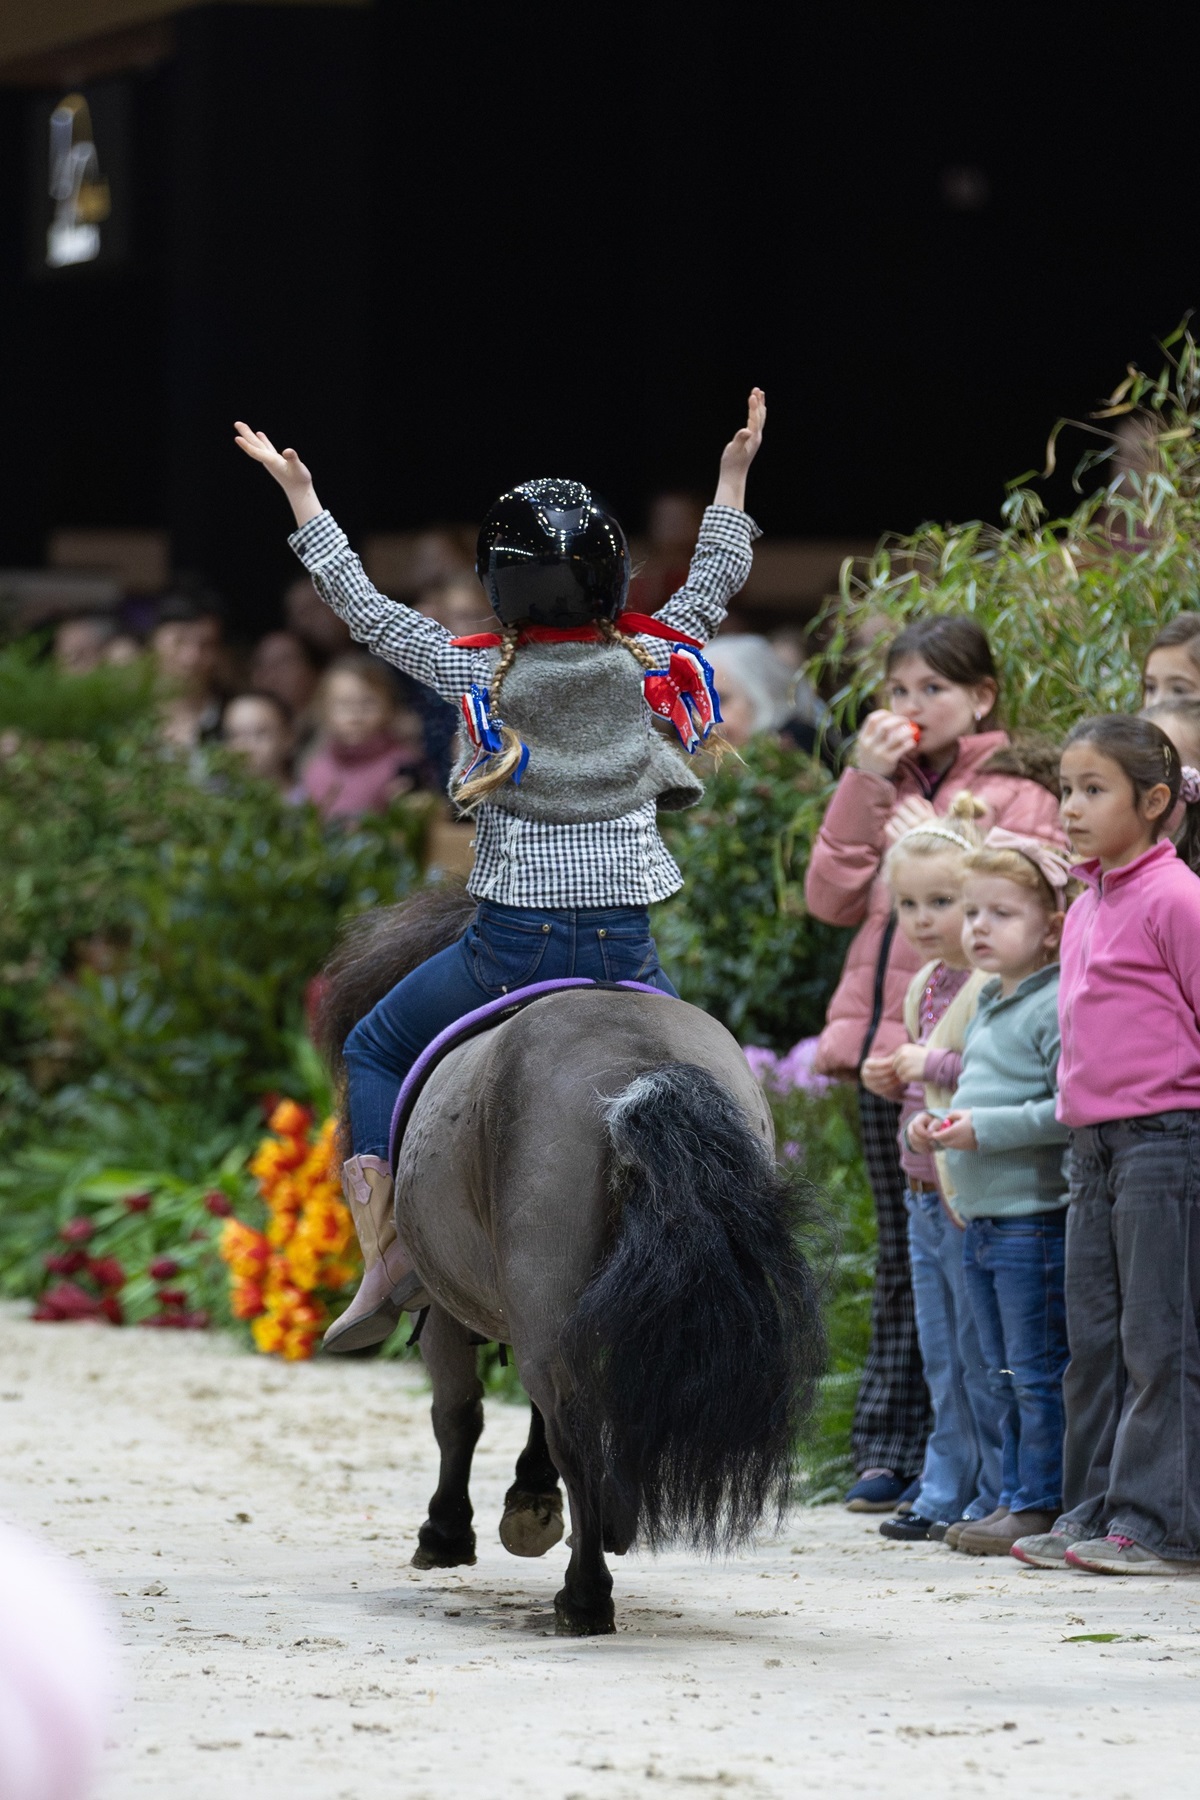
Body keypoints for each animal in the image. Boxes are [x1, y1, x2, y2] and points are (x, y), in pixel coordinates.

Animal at [318, 885, 827, 1634]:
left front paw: (449, 1532)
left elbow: (458, 1413)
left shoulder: (442, 1304)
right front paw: (529, 1498)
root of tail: (643, 1071)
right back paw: (609, 1528)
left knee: (574, 1428)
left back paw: (584, 1595)